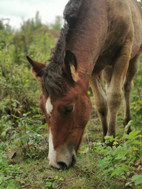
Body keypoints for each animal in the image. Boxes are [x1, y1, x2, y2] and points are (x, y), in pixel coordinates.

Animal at [26, 0, 142, 168]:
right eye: (41, 108)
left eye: (69, 108)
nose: (56, 163)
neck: (106, 12)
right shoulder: (94, 67)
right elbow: (101, 103)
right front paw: (105, 138)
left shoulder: (123, 54)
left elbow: (114, 97)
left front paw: (112, 140)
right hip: (108, 68)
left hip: (134, 59)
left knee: (127, 87)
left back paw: (127, 125)